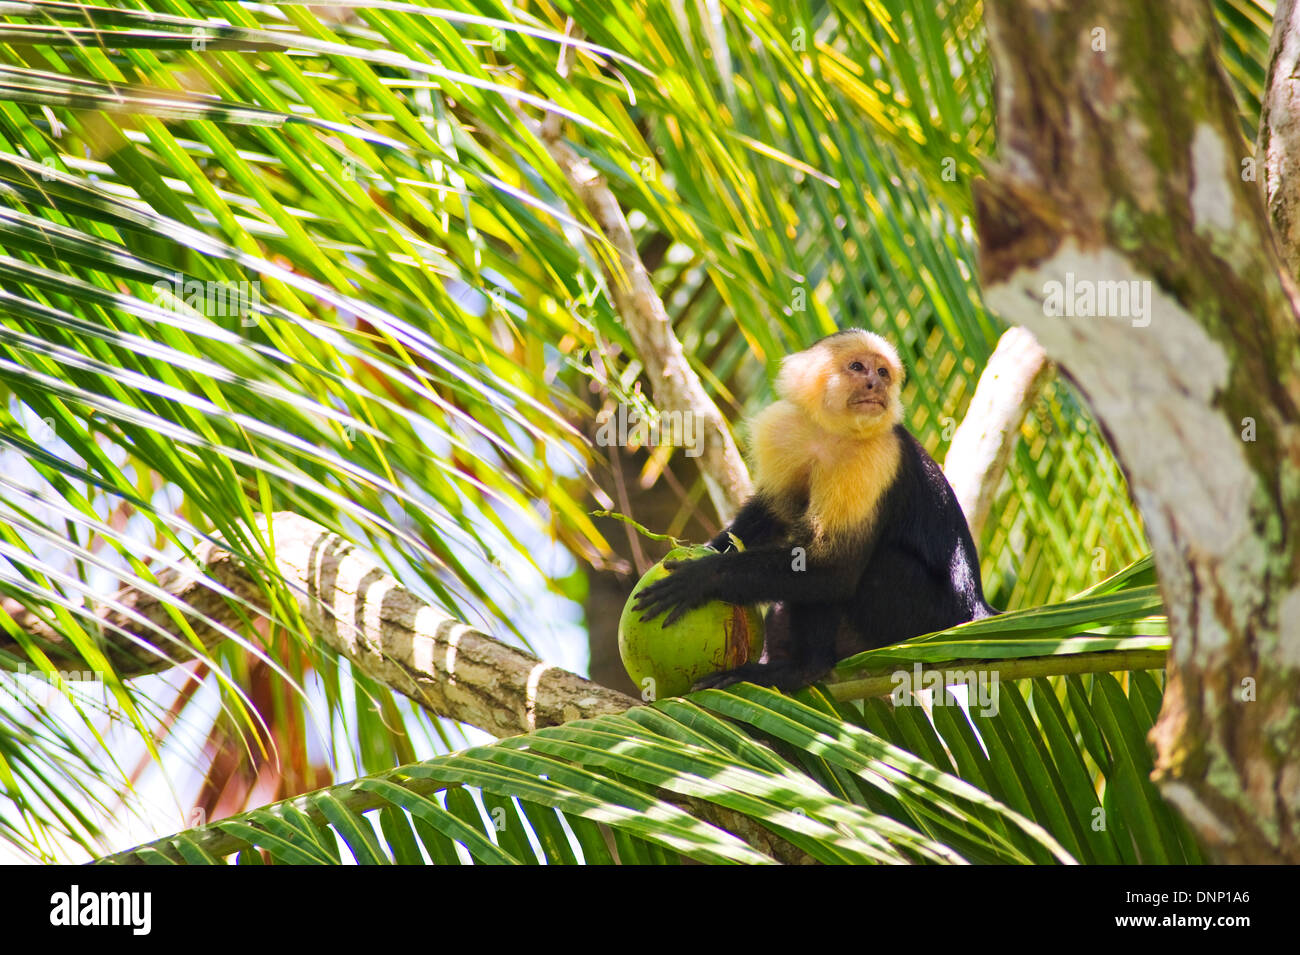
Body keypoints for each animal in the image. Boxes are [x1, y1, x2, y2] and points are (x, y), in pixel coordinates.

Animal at [637, 332, 993, 691]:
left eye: (883, 373)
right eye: (858, 367)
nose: (875, 385)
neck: (832, 433)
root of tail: (974, 608)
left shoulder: (875, 459)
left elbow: (833, 568)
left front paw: (702, 577)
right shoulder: (783, 431)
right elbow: (772, 513)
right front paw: (712, 547)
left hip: (928, 621)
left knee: (869, 565)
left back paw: (804, 669)